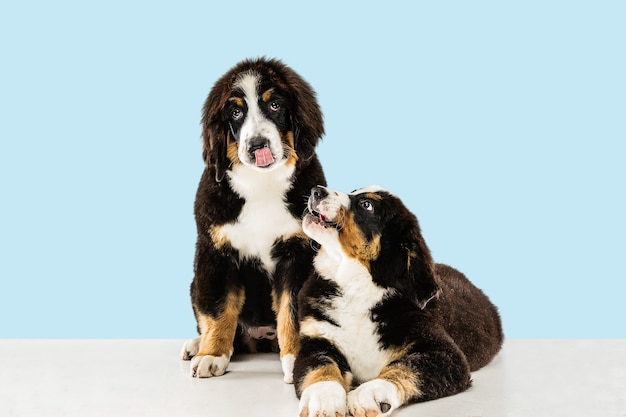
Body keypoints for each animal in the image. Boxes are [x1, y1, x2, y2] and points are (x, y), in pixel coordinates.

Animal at [180, 57, 324, 382]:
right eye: (235, 112)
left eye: (275, 105)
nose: (258, 145)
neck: (261, 184)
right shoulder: (216, 253)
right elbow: (219, 309)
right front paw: (211, 355)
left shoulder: (297, 255)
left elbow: (291, 312)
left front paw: (295, 358)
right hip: (196, 281)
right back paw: (197, 345)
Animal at [294, 186, 502, 416]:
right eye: (353, 191)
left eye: (367, 205)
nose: (316, 191)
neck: (356, 286)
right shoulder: (316, 339)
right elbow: (319, 365)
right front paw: (323, 397)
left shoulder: (445, 353)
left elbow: (405, 367)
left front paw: (371, 392)